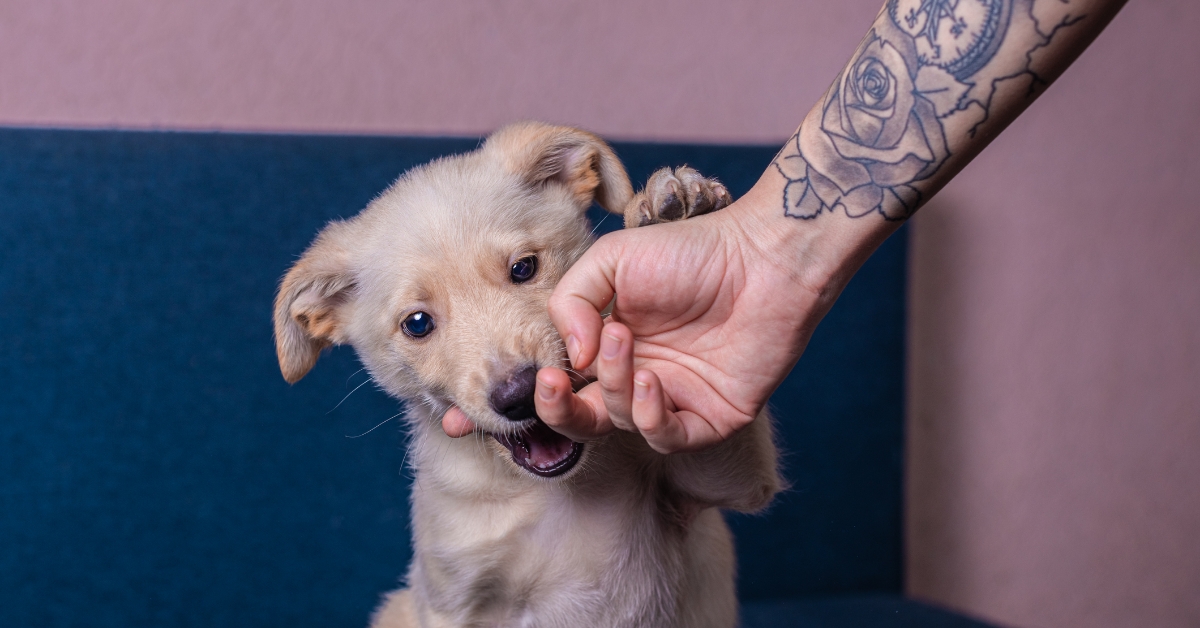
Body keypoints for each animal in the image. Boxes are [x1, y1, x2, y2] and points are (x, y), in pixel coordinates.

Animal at [271, 123, 777, 628]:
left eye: (523, 268)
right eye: (416, 323)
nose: (521, 396)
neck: (547, 492)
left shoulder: (714, 483)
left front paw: (678, 219)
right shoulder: (450, 598)